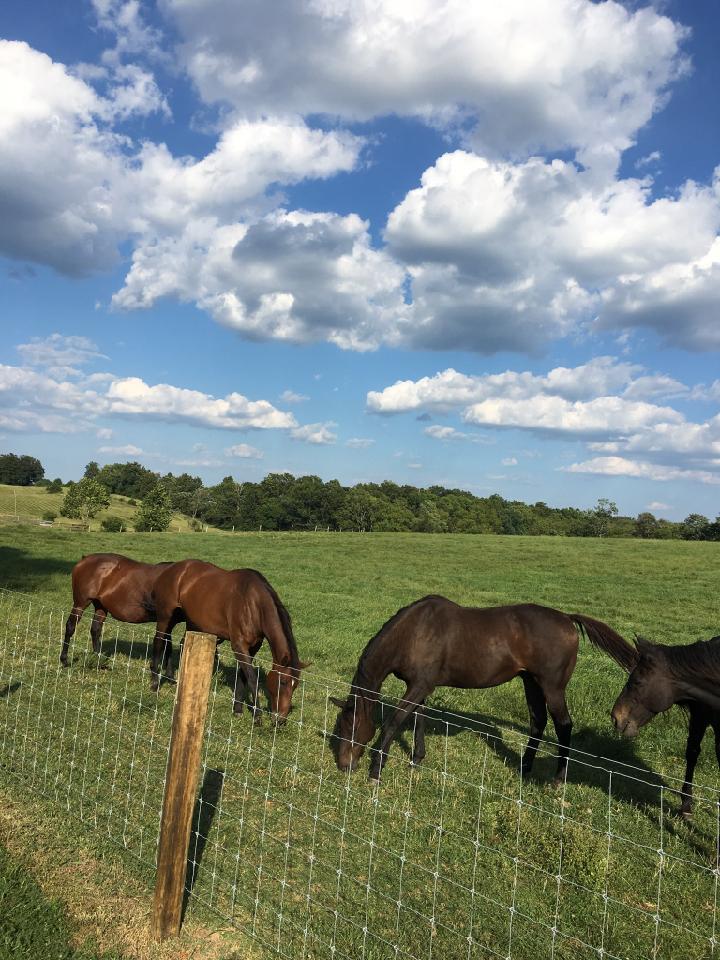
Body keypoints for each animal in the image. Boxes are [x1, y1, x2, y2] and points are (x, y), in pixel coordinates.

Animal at [149, 559, 308, 722]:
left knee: (180, 644)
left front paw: (237, 709)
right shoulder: (239, 645)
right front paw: (257, 716)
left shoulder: (253, 647)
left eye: (295, 685)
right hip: (166, 617)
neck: (253, 603)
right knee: (159, 641)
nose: (280, 719)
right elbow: (252, 678)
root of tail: (171, 568)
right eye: (283, 682)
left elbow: (243, 676)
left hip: (192, 622)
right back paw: (154, 683)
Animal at [330, 596, 635, 784]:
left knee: (563, 725)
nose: (344, 765)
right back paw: (524, 769)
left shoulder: (418, 686)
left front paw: (376, 770)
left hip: (552, 686)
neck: (414, 632)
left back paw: (558, 779)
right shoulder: (420, 686)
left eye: (350, 726)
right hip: (531, 682)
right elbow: (418, 719)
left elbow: (394, 721)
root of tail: (566, 618)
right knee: (538, 722)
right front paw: (416, 760)